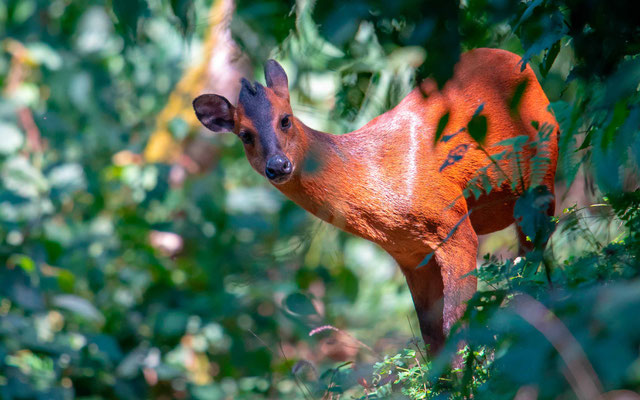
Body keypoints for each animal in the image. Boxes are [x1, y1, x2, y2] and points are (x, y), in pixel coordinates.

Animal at [192, 48, 556, 352]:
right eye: (245, 135)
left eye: (285, 119)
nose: (278, 166)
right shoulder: (410, 254)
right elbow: (431, 335)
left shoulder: (454, 226)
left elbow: (457, 323)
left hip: (543, 173)